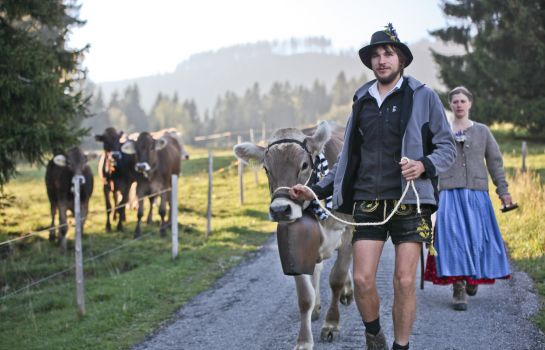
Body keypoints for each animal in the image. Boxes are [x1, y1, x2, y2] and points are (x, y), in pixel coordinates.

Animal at [233, 121, 352, 350]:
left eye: (304, 165)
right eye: (266, 168)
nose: (280, 209)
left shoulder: (348, 233)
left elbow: (337, 278)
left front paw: (331, 325)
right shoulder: (295, 246)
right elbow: (304, 297)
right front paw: (304, 340)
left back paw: (348, 292)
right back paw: (317, 307)